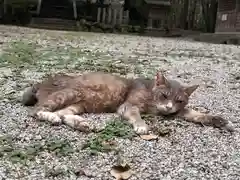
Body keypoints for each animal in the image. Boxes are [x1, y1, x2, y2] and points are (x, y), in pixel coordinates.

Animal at [21, 71, 234, 134]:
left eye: (179, 100)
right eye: (164, 95)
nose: (168, 106)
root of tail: (41, 82)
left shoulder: (176, 112)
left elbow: (196, 113)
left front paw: (220, 120)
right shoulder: (128, 106)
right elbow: (136, 114)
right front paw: (141, 125)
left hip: (78, 104)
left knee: (64, 114)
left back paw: (80, 124)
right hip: (68, 94)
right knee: (37, 110)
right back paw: (50, 116)